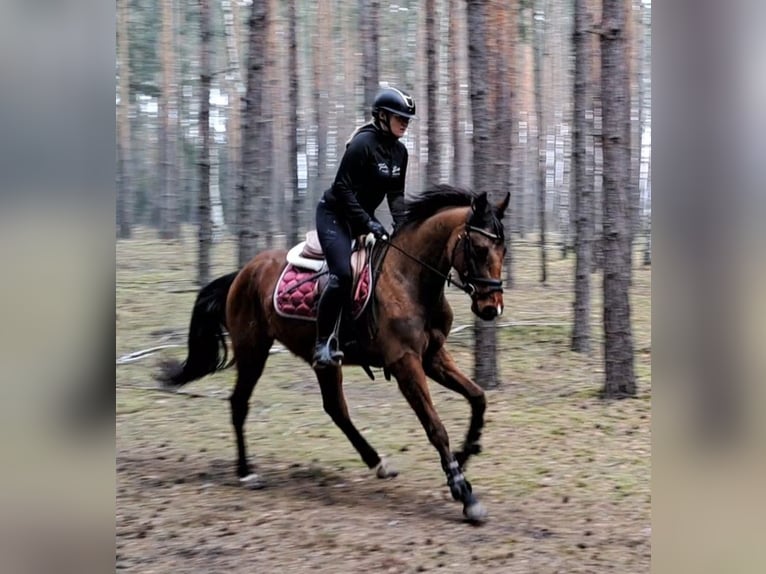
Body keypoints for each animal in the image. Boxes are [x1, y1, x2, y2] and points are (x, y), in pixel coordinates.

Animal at [158, 187, 510, 524]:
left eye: (503, 250)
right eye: (480, 249)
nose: (490, 308)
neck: (409, 279)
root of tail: (242, 273)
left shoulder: (432, 357)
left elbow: (478, 397)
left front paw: (465, 453)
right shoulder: (405, 363)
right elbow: (436, 427)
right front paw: (464, 492)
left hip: (322, 361)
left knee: (335, 408)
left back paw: (377, 462)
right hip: (253, 351)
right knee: (240, 403)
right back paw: (246, 472)